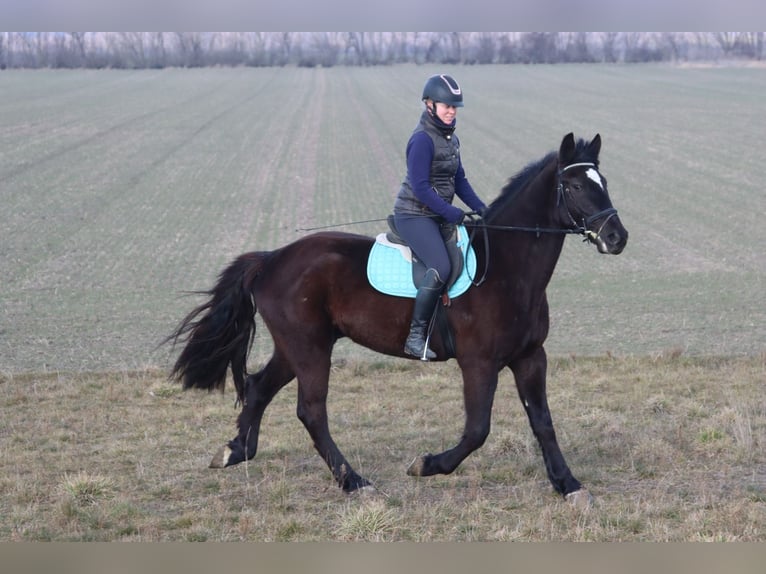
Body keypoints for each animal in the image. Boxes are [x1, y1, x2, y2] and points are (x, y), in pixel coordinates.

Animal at [170, 133, 632, 502]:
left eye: (604, 183)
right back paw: (355, 482)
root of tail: (270, 259)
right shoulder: (479, 363)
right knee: (311, 411)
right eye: (574, 185)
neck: (506, 268)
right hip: (309, 348)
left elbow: (543, 422)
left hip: (296, 347)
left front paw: (569, 485)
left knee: (258, 387)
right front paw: (426, 465)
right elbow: (477, 429)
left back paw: (235, 451)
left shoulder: (531, 357)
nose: (617, 237)